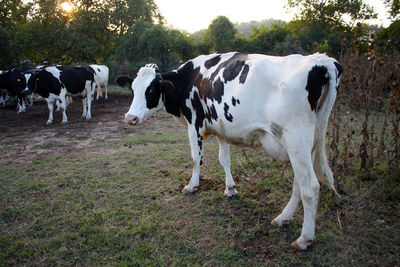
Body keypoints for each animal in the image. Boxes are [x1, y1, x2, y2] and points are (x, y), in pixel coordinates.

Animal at [124, 52, 344, 251]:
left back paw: (304, 239)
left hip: (296, 140)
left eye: (151, 89)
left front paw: (192, 186)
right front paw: (230, 188)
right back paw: (282, 218)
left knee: (310, 187)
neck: (190, 78)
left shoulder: (194, 123)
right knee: (299, 184)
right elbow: (224, 159)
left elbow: (196, 159)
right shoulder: (222, 128)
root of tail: (321, 60)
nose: (130, 118)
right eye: (133, 88)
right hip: (307, 144)